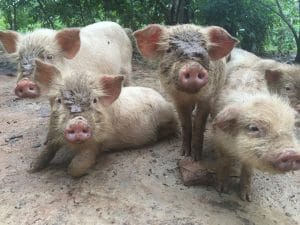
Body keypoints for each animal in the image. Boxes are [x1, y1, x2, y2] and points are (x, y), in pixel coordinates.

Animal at [28, 60, 178, 178]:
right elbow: (47, 150)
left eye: (94, 100)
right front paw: (31, 168)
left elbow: (77, 167)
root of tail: (162, 98)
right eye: (59, 100)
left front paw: (78, 171)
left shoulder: (96, 143)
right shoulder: (53, 132)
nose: (77, 121)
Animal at [134, 24, 239, 160]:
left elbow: (199, 124)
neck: (190, 96)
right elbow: (185, 124)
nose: (193, 67)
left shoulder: (207, 98)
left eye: (205, 49)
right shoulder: (177, 100)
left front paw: (196, 158)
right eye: (169, 50)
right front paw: (184, 154)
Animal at [211, 67, 300, 202]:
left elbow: (248, 170)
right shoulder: (219, 140)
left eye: (290, 128)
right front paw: (221, 189)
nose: (292, 153)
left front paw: (247, 198)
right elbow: (225, 161)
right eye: (254, 128)